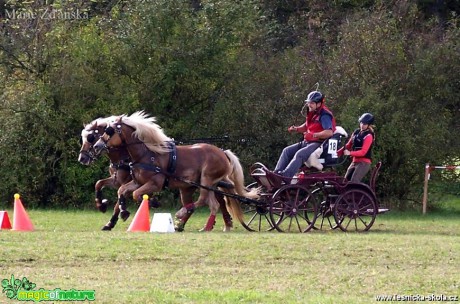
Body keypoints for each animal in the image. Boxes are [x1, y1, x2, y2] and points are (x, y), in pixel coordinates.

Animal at [93, 111, 258, 233]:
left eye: (110, 131)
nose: (96, 145)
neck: (146, 154)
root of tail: (223, 152)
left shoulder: (154, 183)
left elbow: (136, 195)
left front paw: (153, 202)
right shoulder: (137, 182)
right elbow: (122, 190)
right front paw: (123, 212)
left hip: (206, 179)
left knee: (204, 200)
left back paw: (182, 214)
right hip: (201, 185)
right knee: (213, 203)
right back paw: (203, 226)